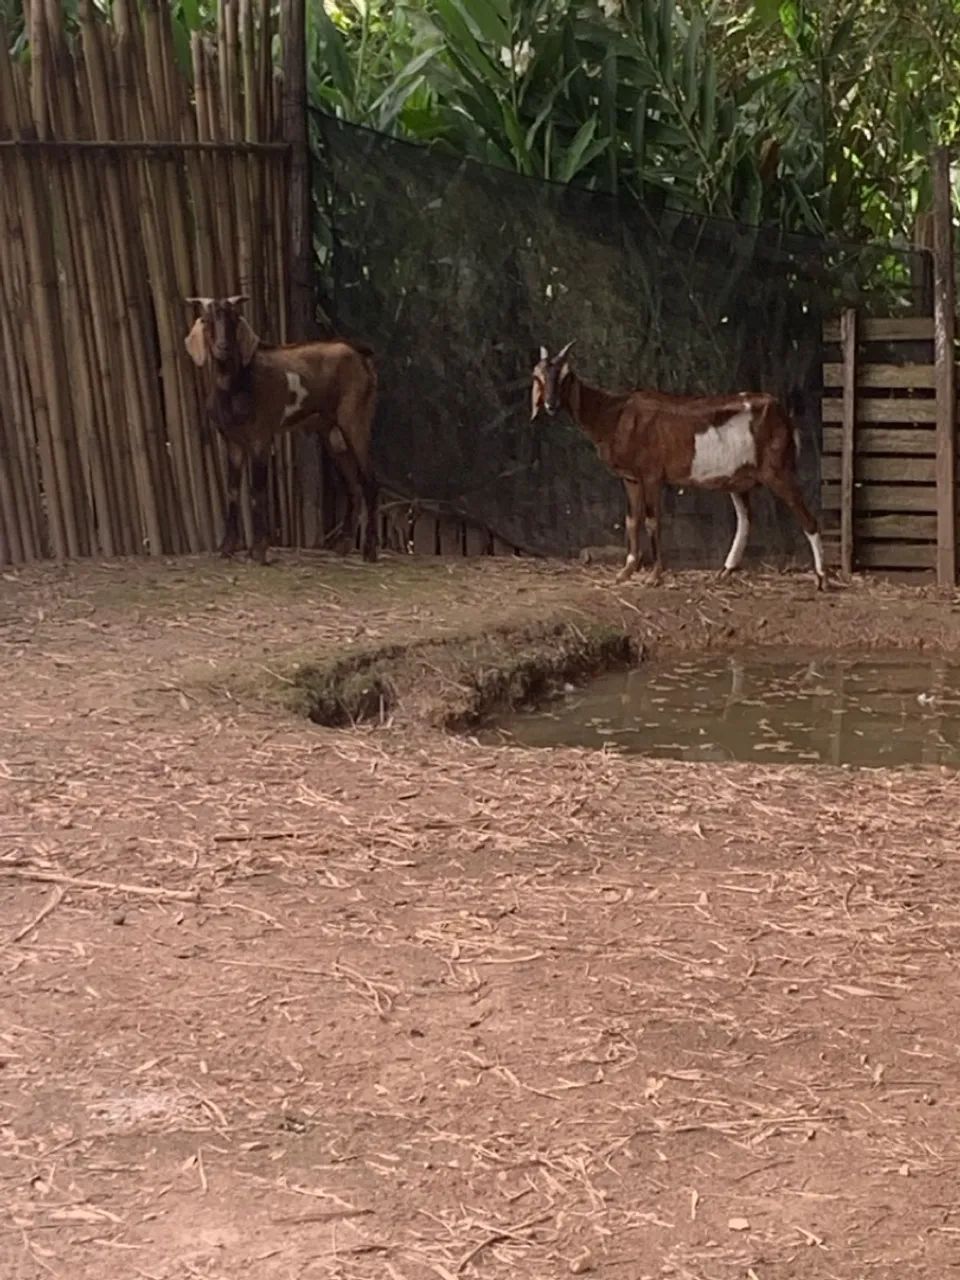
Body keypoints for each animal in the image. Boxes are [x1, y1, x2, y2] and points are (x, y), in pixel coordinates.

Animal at [184, 295, 379, 564]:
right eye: (208, 320)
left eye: (234, 318)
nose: (223, 347)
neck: (235, 386)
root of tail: (359, 354)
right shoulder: (233, 441)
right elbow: (233, 492)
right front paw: (227, 548)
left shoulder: (260, 436)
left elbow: (257, 491)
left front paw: (258, 550)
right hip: (330, 432)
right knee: (353, 483)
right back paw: (343, 546)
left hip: (355, 419)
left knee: (369, 480)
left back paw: (370, 551)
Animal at [530, 342, 825, 591]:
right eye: (540, 377)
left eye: (565, 377)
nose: (551, 404)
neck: (614, 414)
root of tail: (783, 414)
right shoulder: (630, 478)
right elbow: (631, 520)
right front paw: (626, 572)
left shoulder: (651, 475)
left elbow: (652, 520)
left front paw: (654, 576)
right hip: (739, 479)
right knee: (745, 518)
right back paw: (725, 571)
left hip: (778, 470)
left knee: (808, 518)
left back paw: (822, 578)